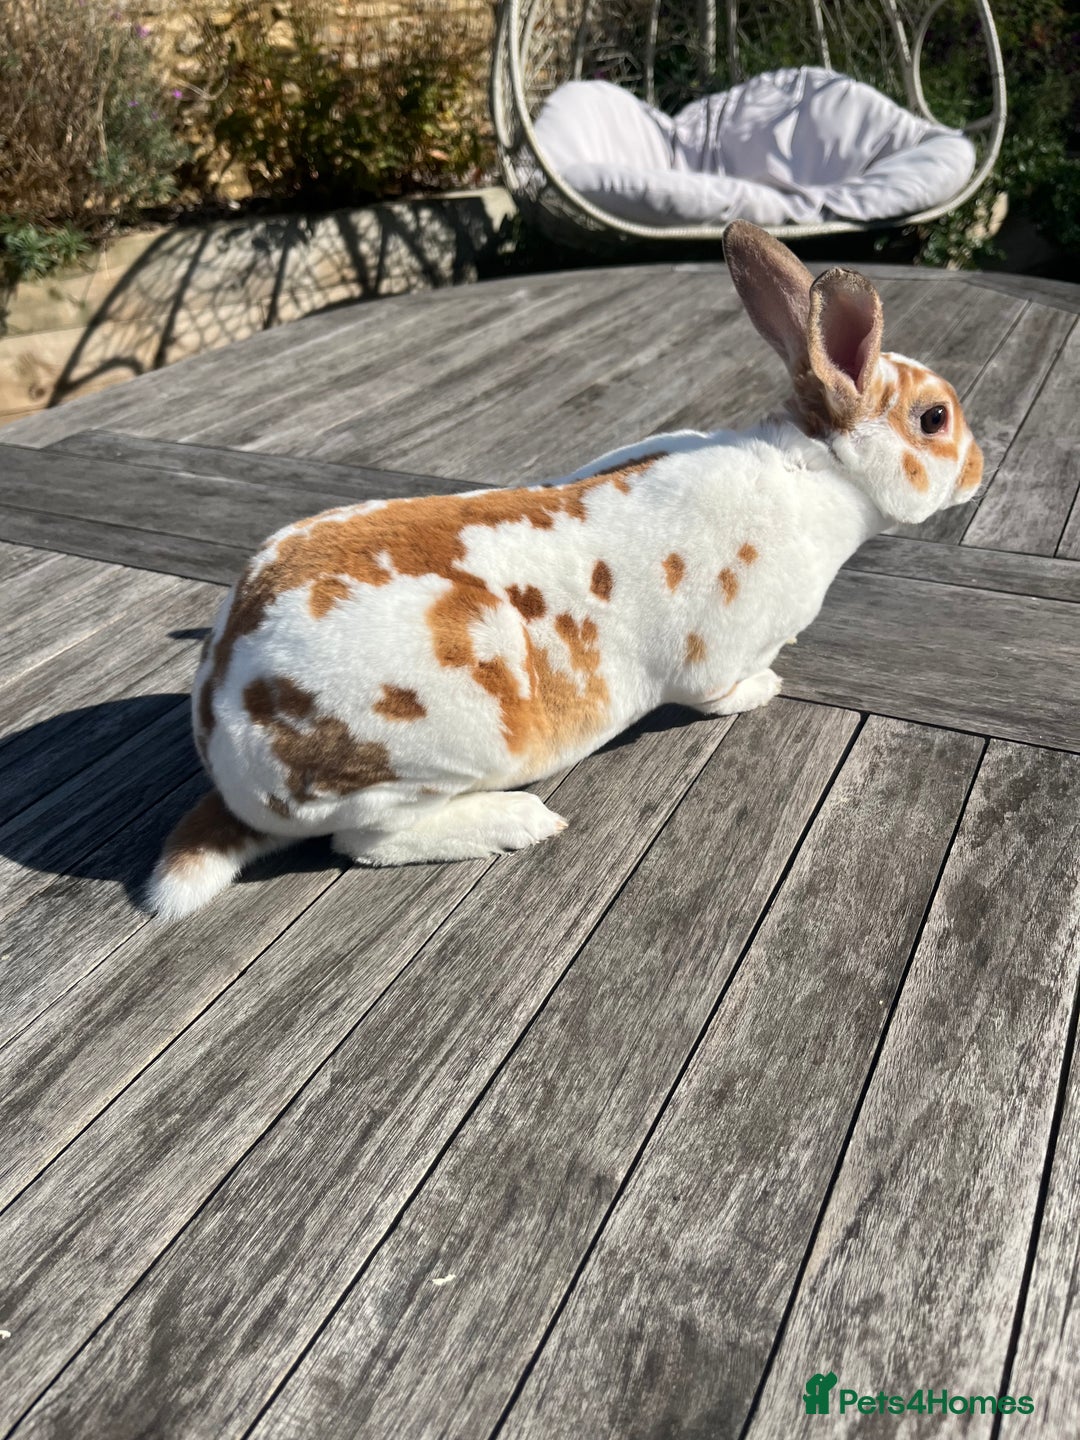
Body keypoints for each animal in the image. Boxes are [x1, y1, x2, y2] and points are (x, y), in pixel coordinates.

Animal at [147, 221, 983, 919]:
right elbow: (720, 696)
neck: (816, 471)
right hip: (425, 762)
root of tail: (224, 738)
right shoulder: (713, 661)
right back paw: (521, 822)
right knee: (365, 843)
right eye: (934, 419)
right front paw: (768, 686)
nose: (979, 469)